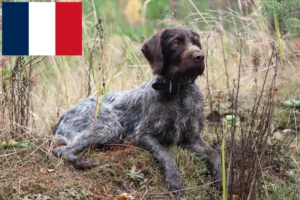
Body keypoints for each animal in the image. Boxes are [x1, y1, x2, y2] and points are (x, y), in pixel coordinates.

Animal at [52, 26, 221, 194]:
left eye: (196, 42)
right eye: (176, 42)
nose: (200, 56)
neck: (177, 92)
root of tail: (65, 114)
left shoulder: (193, 138)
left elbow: (215, 154)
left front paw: (221, 177)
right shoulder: (143, 135)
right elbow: (166, 154)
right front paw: (173, 178)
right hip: (108, 127)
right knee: (61, 151)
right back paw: (82, 162)